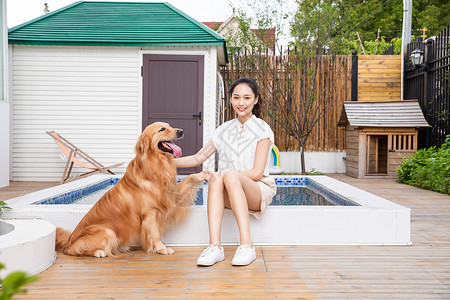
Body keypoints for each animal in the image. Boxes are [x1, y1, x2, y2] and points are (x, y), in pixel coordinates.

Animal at [54, 122, 206, 258]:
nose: (181, 131)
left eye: (170, 126)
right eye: (162, 129)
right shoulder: (149, 213)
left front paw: (202, 175)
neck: (156, 164)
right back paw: (99, 252)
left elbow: (189, 179)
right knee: (78, 250)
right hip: (107, 231)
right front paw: (161, 248)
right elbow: (155, 233)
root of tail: (68, 242)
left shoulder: (171, 194)